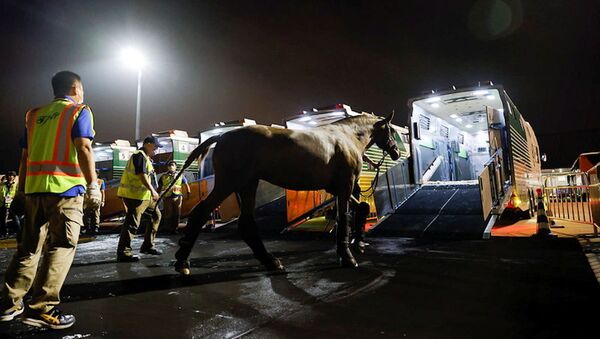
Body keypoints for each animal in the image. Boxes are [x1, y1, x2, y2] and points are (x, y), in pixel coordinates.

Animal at [164, 111, 400, 276]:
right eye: (390, 130)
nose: (396, 152)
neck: (346, 137)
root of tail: (222, 136)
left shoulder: (337, 189)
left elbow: (363, 208)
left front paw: (359, 242)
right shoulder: (345, 186)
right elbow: (344, 219)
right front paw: (347, 257)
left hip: (246, 185)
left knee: (246, 223)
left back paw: (270, 261)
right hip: (229, 183)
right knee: (201, 212)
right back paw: (182, 262)